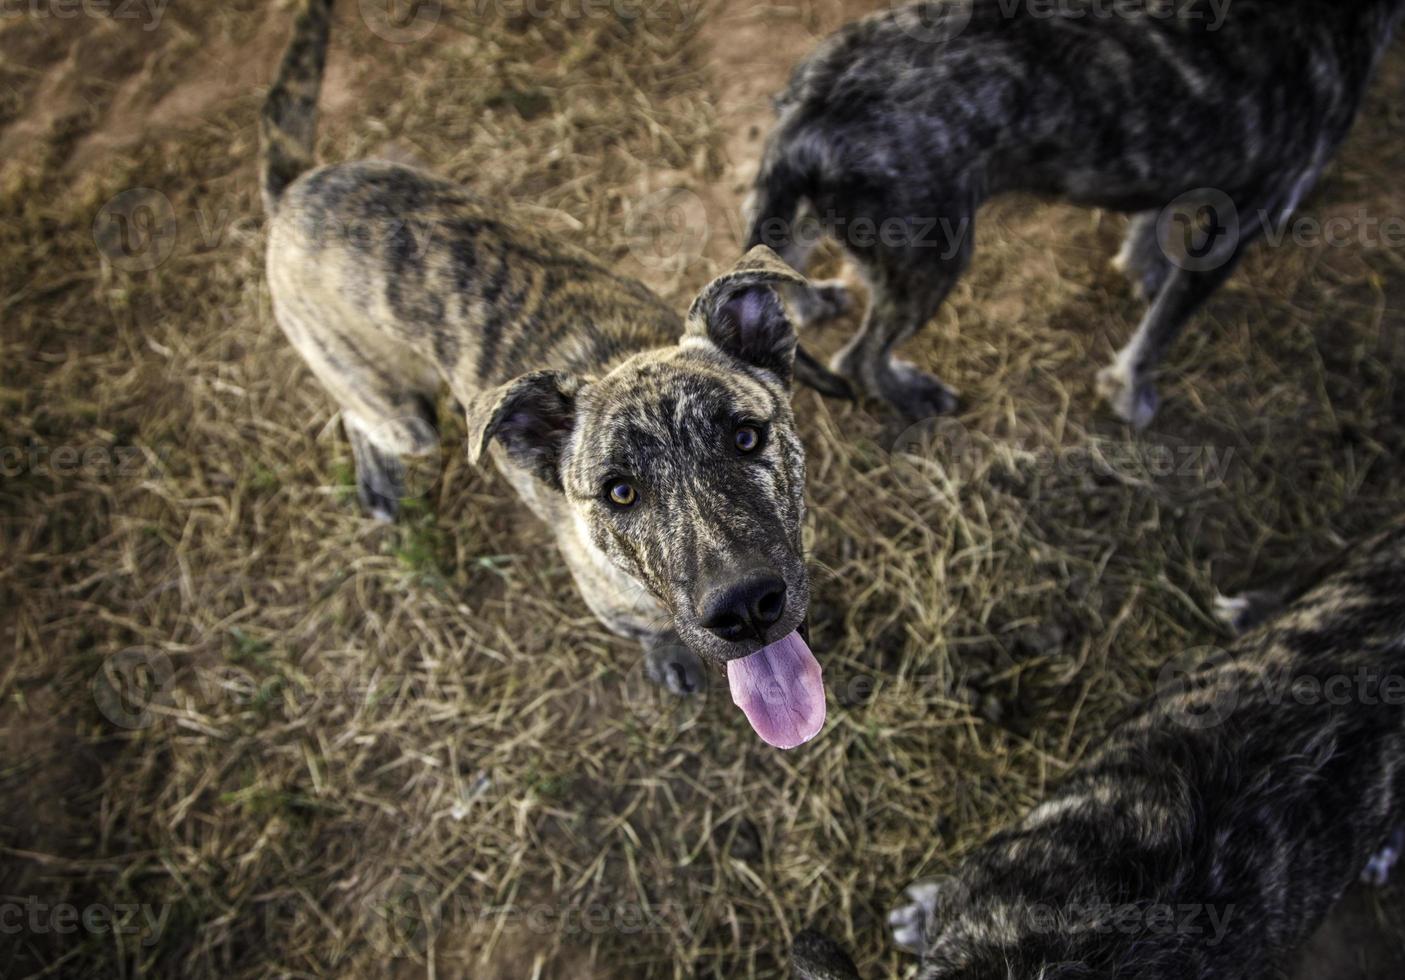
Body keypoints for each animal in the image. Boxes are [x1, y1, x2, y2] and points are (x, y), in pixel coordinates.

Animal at [259, 0, 826, 746]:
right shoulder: (616, 606)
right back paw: (378, 477)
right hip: (398, 411)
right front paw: (669, 660)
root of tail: (297, 185)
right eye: (619, 493)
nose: (746, 608)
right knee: (363, 415)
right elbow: (652, 637)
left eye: (745, 437)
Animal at [747, 1, 1405, 426]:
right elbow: (1160, 332)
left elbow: (1151, 229)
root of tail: (812, 100)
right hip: (931, 259)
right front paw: (1130, 394)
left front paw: (1143, 271)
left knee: (781, 253)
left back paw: (808, 304)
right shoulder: (1240, 224)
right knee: (859, 358)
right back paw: (910, 396)